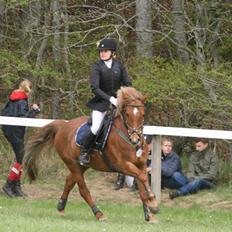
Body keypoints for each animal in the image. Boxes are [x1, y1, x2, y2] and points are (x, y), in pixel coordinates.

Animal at [24, 87, 160, 223]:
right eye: (127, 114)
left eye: (143, 114)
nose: (135, 140)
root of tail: (63, 126)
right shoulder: (122, 165)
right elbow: (143, 177)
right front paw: (153, 202)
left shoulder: (140, 165)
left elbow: (142, 186)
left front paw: (149, 214)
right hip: (72, 164)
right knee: (83, 190)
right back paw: (99, 214)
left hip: (82, 165)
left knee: (69, 181)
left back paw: (61, 207)